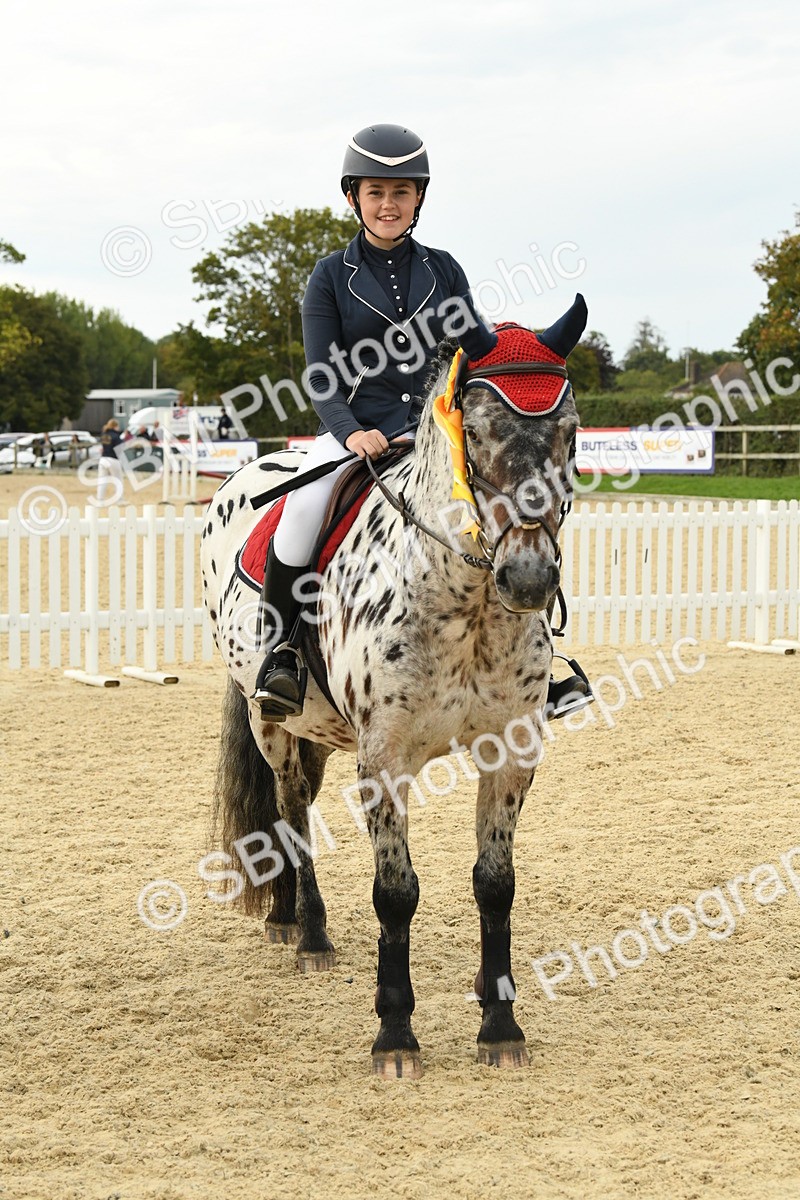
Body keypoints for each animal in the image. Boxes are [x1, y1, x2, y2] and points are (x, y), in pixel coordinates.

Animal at [201, 295, 587, 1078]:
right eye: (477, 432)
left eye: (569, 431)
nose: (530, 579)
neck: (468, 603)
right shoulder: (384, 761)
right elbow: (395, 893)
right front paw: (396, 1034)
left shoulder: (512, 752)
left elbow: (495, 882)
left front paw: (500, 1023)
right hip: (272, 723)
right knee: (290, 810)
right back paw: (310, 935)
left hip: (320, 733)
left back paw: (285, 916)